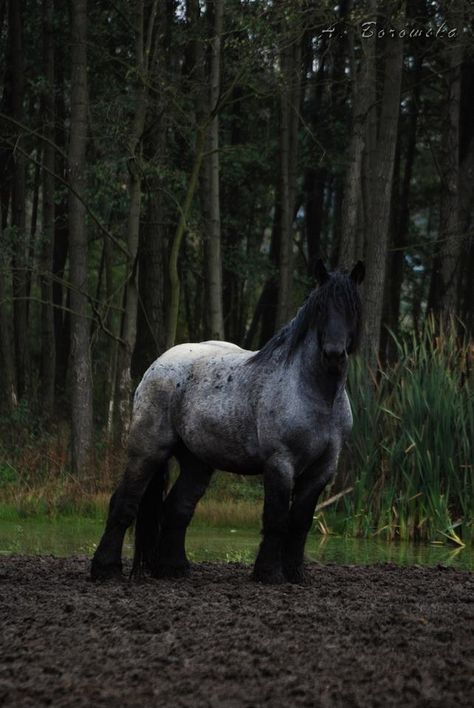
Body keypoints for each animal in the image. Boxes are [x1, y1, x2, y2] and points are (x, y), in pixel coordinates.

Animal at [93, 262, 366, 584]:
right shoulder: (280, 463)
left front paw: (296, 573)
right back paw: (105, 568)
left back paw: (175, 568)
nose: (334, 353)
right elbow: (276, 519)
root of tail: (158, 364)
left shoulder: (321, 470)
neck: (317, 396)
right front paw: (269, 573)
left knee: (178, 508)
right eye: (321, 308)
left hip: (197, 463)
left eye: (354, 307)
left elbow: (300, 522)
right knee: (124, 503)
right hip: (148, 451)